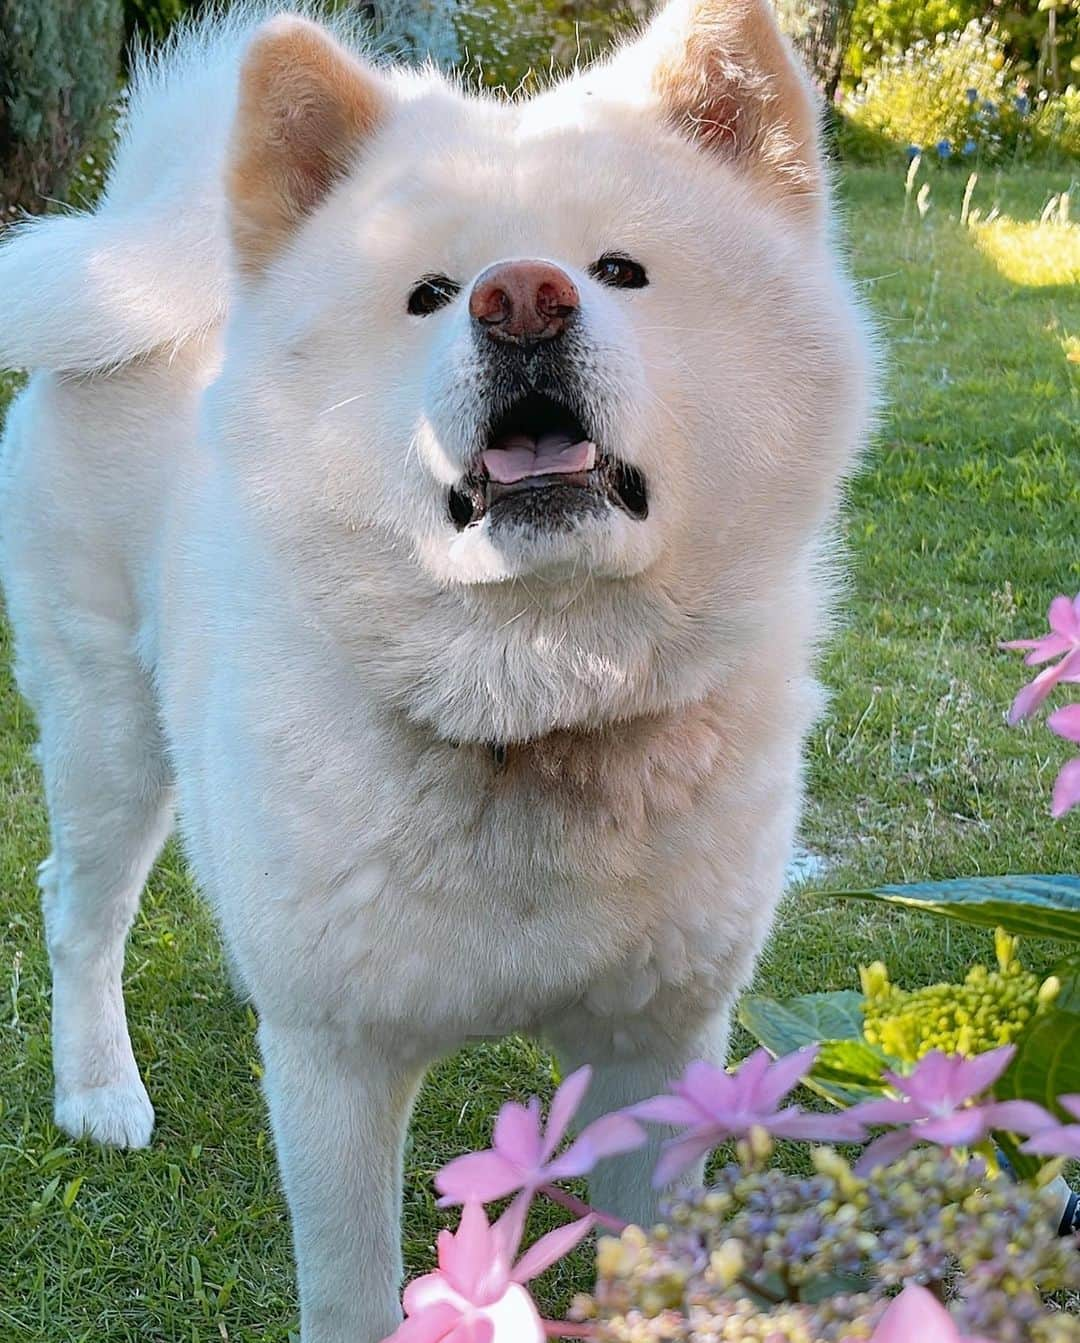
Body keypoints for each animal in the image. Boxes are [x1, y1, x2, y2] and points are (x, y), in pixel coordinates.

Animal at [0, 5, 875, 1337]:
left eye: (622, 270)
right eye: (427, 296)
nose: (522, 298)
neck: (535, 700)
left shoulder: (658, 1046)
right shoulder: (338, 1063)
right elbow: (353, 1289)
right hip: (110, 738)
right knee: (77, 909)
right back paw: (99, 1089)